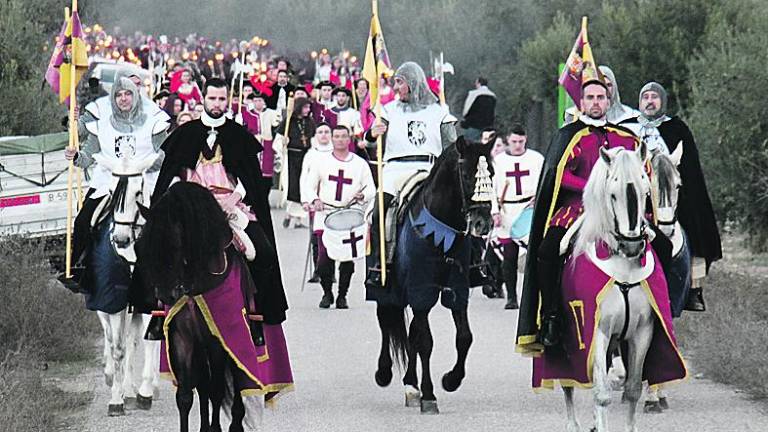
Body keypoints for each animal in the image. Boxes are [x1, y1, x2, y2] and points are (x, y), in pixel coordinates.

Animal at [91, 154, 161, 416]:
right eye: (111, 192)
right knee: (113, 340)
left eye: (138, 192)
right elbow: (117, 348)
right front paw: (115, 400)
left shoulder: (150, 301)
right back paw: (114, 378)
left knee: (133, 341)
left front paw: (144, 393)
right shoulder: (113, 302)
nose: (120, 239)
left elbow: (147, 341)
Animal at [368, 138, 496, 416]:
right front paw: (429, 396)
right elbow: (426, 341)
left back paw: (411, 385)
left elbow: (464, 338)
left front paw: (450, 380)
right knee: (386, 322)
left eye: (491, 173)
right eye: (467, 175)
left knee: (412, 333)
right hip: (386, 290)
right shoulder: (421, 290)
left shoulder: (457, 290)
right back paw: (385, 374)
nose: (483, 224)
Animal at [560, 145, 656, 432]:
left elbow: (633, 389)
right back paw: (574, 424)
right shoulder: (597, 331)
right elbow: (601, 394)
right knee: (568, 382)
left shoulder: (642, 331)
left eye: (646, 191)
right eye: (612, 195)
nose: (633, 245)